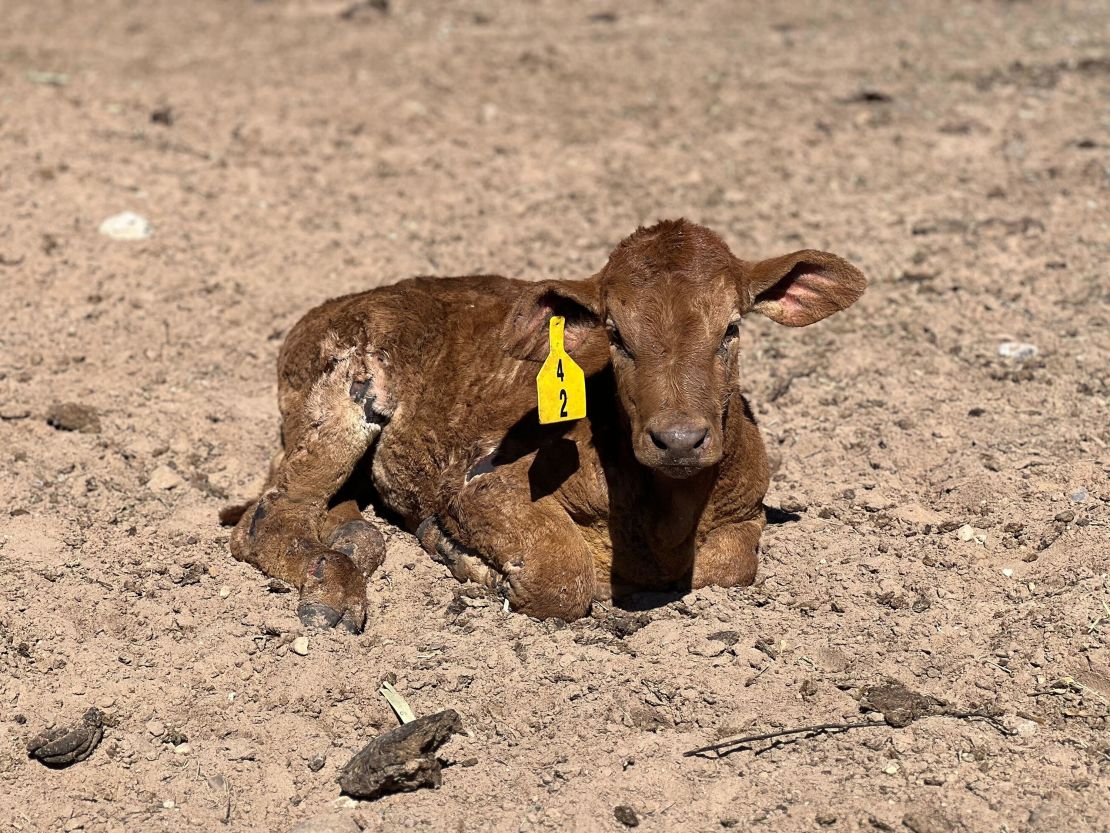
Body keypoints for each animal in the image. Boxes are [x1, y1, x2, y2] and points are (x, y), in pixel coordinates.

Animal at [223, 219, 865, 630]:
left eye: (731, 327)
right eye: (615, 334)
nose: (679, 439)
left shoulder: (746, 508)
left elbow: (731, 566)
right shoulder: (483, 484)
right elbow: (562, 576)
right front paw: (459, 553)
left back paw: (355, 537)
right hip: (336, 397)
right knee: (269, 517)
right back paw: (331, 589)